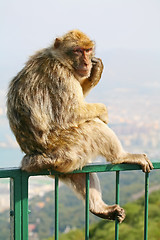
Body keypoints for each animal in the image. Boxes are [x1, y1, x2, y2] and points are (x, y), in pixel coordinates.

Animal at [6, 29, 153, 223]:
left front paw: (95, 73)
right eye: (77, 50)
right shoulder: (61, 76)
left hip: (62, 161)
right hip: (66, 148)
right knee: (93, 127)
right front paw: (103, 111)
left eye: (88, 50)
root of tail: (34, 157)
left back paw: (99, 208)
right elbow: (71, 112)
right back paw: (122, 156)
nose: (86, 62)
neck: (59, 59)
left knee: (78, 172)